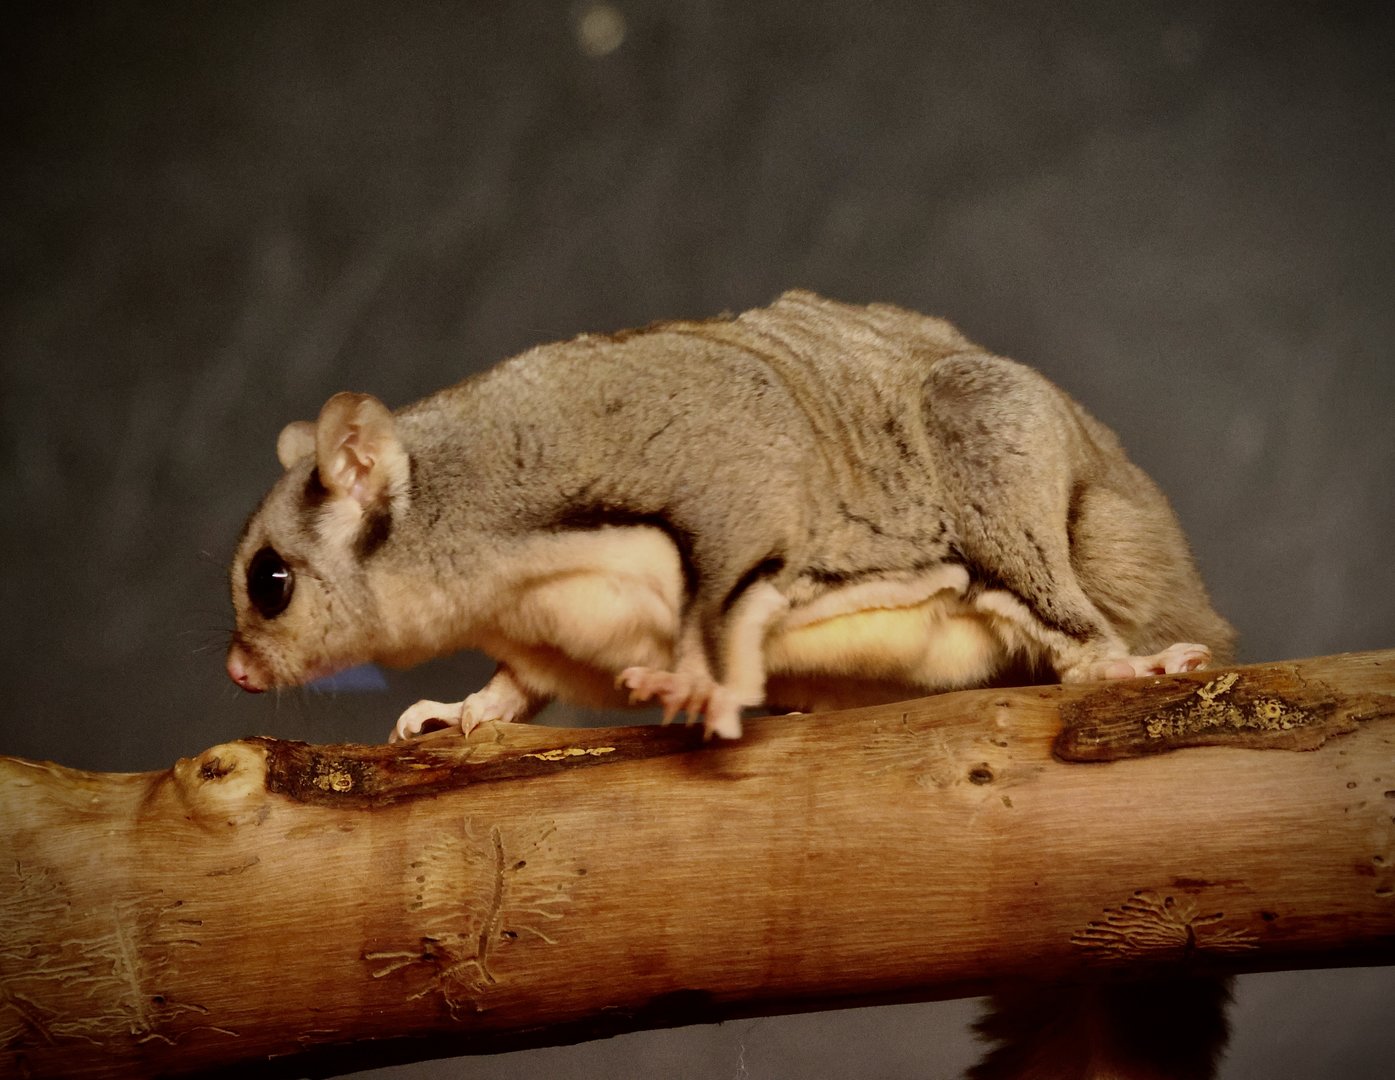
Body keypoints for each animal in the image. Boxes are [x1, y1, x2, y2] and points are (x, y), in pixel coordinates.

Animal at [226, 290, 1238, 1077]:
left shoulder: (694, 472)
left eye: (268, 582)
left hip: (1003, 458)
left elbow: (726, 579)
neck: (470, 533)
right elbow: (519, 684)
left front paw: (704, 686)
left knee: (1042, 574)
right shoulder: (549, 638)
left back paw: (1116, 659)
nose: (236, 668)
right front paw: (463, 709)